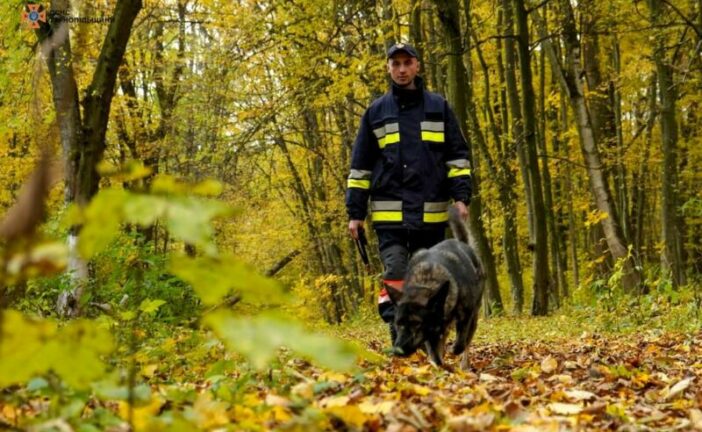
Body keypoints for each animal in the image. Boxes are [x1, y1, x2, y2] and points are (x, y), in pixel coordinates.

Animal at [388, 206, 486, 368]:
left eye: (416, 323)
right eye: (398, 323)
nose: (397, 351)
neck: (427, 279)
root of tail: (463, 243)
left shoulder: (465, 317)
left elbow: (460, 343)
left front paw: (454, 353)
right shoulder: (430, 334)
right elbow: (436, 356)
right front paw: (440, 367)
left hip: (473, 317)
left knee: (466, 342)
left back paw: (464, 365)